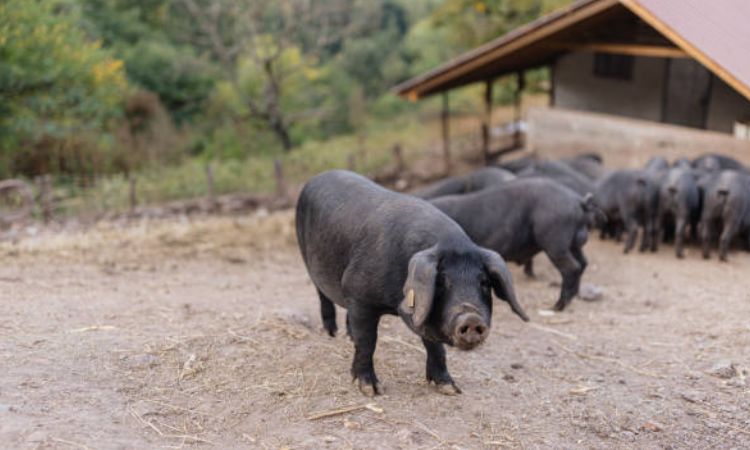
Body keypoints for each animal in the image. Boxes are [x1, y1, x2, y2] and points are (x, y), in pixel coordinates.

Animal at [296, 170, 528, 396]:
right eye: (441, 281)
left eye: (484, 282)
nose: (471, 317)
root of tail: (316, 177)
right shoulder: (359, 295)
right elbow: (367, 342)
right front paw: (371, 390)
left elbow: (435, 347)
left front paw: (450, 388)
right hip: (308, 259)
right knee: (323, 296)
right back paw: (331, 333)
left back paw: (347, 335)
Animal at [430, 178, 594, 311]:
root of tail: (579, 201)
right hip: (574, 244)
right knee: (583, 263)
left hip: (555, 240)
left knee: (571, 267)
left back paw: (556, 307)